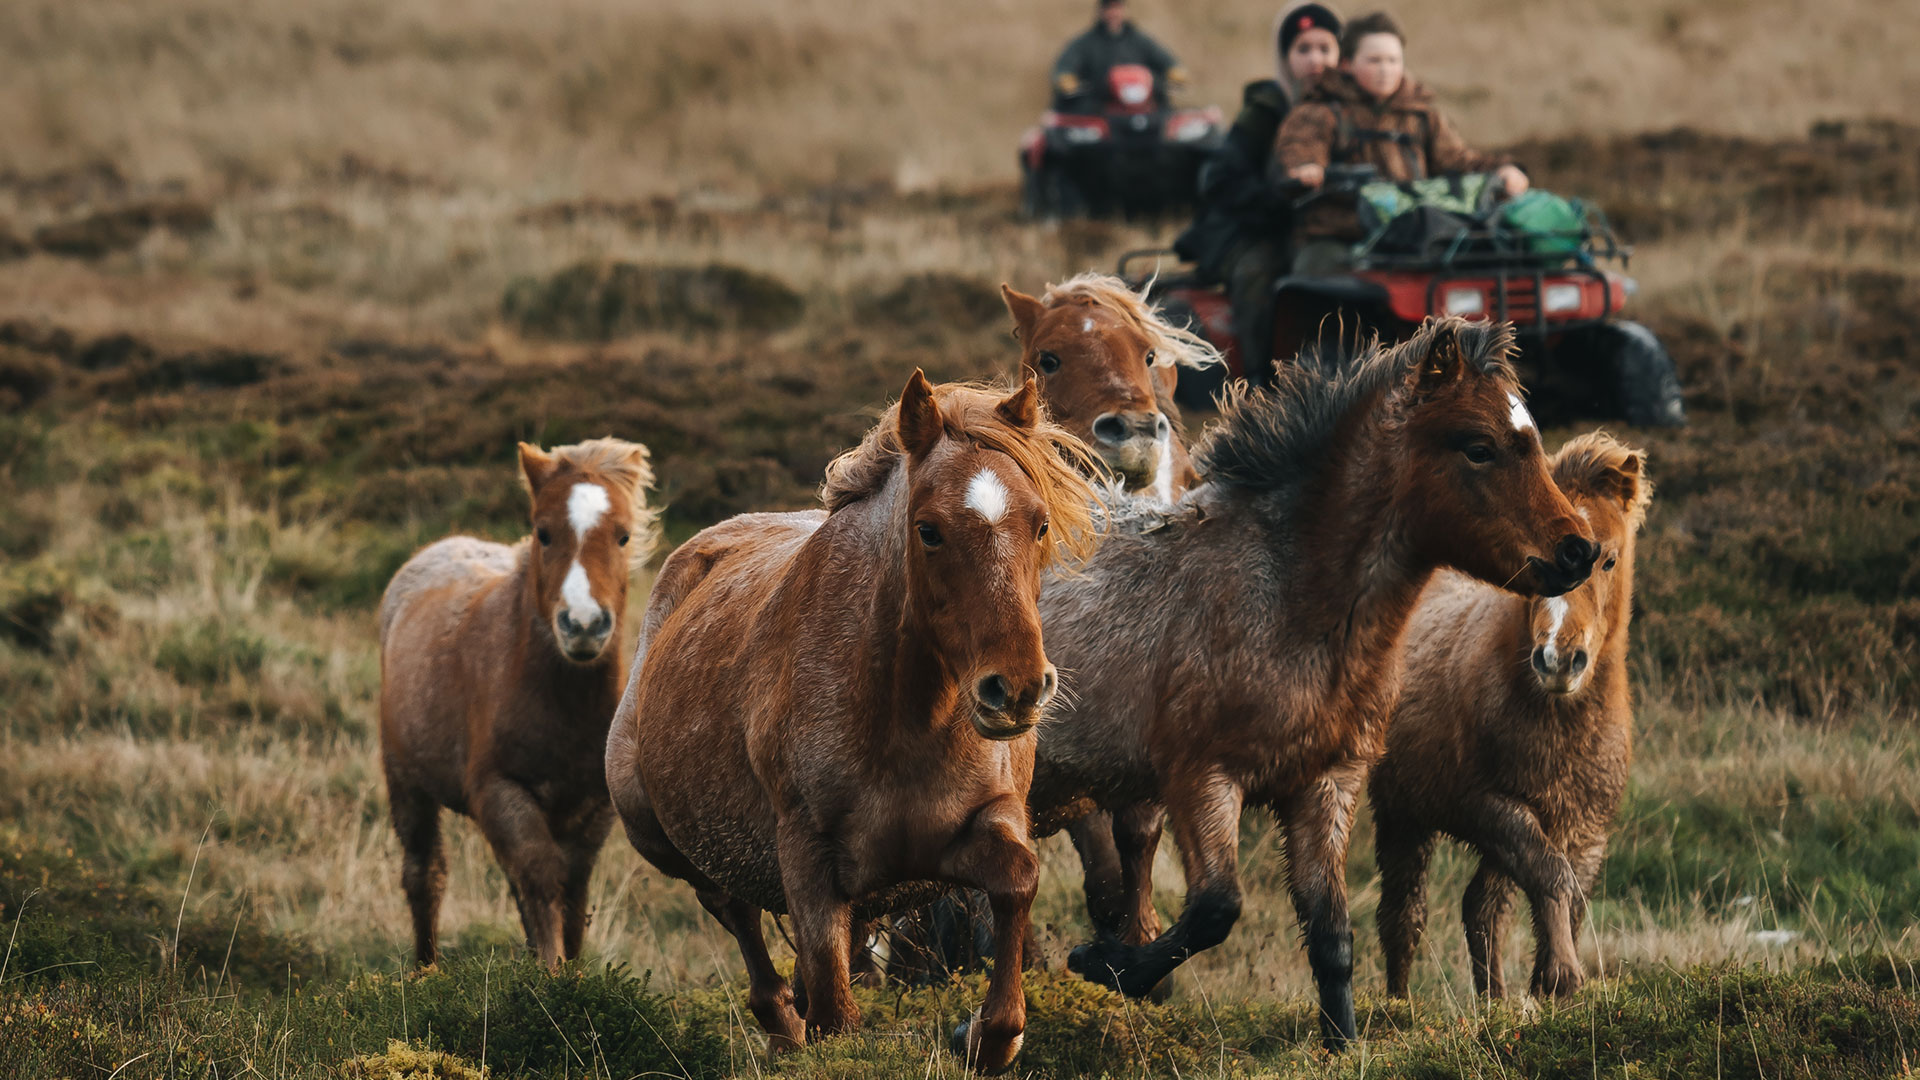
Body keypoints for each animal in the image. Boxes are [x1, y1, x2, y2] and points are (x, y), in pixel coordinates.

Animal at [374, 438, 660, 968]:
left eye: (623, 536)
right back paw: (425, 971)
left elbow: (572, 890)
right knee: (424, 873)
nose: (583, 625)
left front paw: (573, 972)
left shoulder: (594, 808)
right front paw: (550, 973)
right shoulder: (501, 792)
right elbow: (540, 877)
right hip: (406, 782)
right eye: (543, 533)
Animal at [606, 368, 1105, 1068]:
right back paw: (781, 1026)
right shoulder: (808, 860)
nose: (1017, 691)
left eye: (1038, 525)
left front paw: (991, 1035)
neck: (904, 723)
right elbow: (834, 1012)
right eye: (929, 530)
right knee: (734, 911)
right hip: (671, 840)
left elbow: (1016, 881)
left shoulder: (981, 826)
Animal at [1029, 313, 1597, 1045]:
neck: (1288, 605)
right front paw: (1103, 965)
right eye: (1479, 446)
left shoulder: (1326, 783)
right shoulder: (1201, 778)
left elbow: (1331, 934)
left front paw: (1342, 1043)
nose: (1578, 551)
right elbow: (1216, 907)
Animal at [1374, 426, 1658, 991]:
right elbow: (1551, 877)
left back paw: (1495, 1000)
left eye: (1609, 560)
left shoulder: (1586, 829)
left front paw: (1552, 984)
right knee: (1403, 915)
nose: (1557, 660)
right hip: (1400, 813)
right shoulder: (1490, 806)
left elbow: (1568, 896)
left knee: (1481, 907)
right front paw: (1563, 975)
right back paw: (1397, 1006)